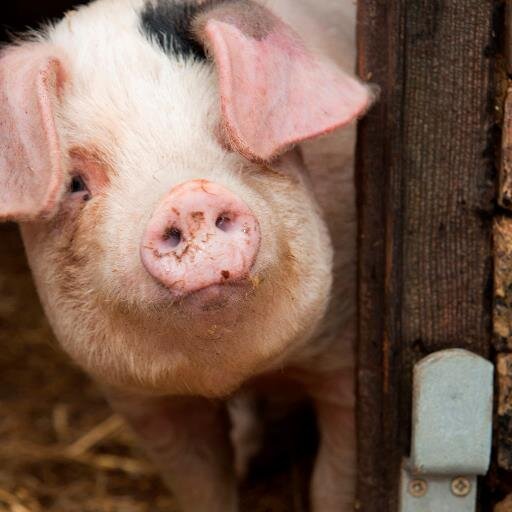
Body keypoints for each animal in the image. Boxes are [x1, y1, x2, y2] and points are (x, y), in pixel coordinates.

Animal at [0, 2, 374, 510]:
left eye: (229, 138)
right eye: (75, 183)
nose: (189, 198)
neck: (234, 374)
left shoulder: (344, 360)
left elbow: (333, 484)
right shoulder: (144, 404)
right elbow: (202, 486)